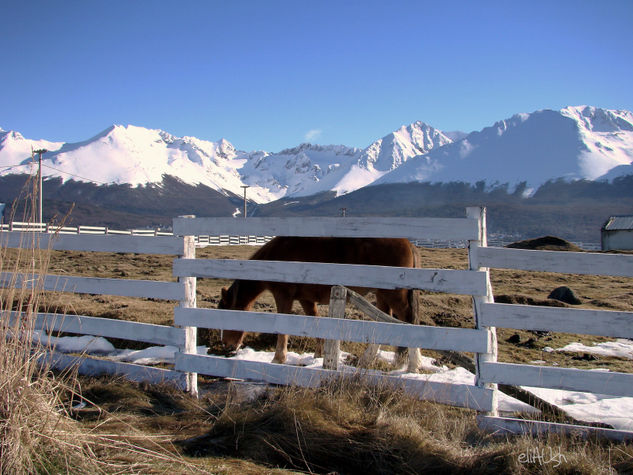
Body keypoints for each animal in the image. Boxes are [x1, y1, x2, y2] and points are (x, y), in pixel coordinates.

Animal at [220, 237, 422, 372]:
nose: (227, 347)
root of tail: (410, 244)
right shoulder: (306, 299)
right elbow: (315, 323)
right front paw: (318, 355)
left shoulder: (283, 296)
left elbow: (283, 328)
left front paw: (278, 359)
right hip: (382, 295)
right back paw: (370, 360)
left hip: (395, 296)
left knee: (409, 321)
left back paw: (412, 364)